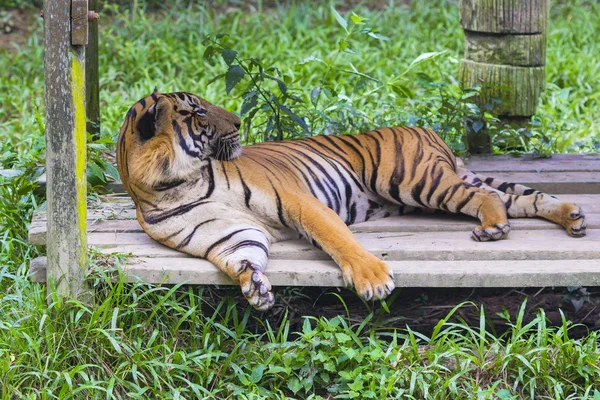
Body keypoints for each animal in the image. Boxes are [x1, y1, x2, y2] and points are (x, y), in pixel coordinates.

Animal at [116, 92, 584, 310]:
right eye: (197, 113)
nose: (238, 122)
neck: (175, 184)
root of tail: (428, 130)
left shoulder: (297, 199)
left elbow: (336, 237)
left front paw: (372, 279)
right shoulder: (226, 236)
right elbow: (244, 257)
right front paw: (256, 289)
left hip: (413, 179)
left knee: (487, 193)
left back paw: (494, 227)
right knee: (518, 198)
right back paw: (571, 217)